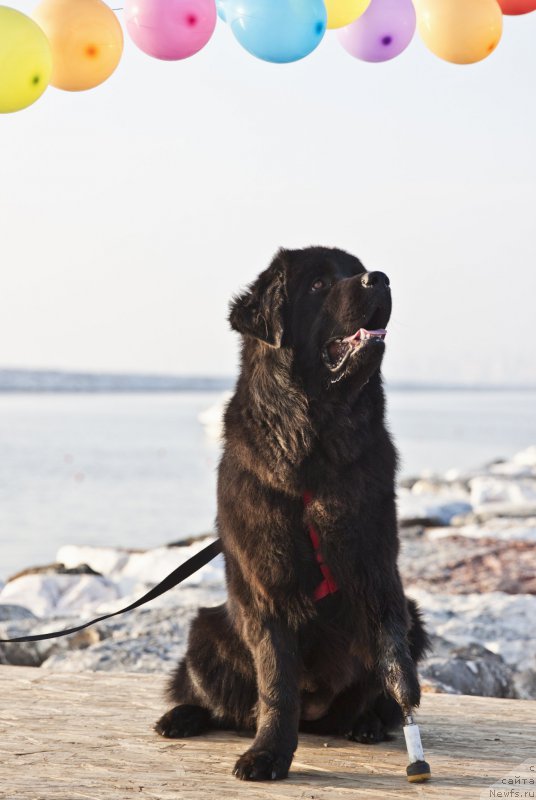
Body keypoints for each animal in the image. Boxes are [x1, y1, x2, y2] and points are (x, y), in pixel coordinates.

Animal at [155, 245, 428, 780]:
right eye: (319, 284)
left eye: (355, 270)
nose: (379, 278)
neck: (313, 441)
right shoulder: (268, 586)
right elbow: (276, 683)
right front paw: (268, 754)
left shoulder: (376, 564)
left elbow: (391, 648)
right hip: (205, 633)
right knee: (216, 699)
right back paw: (180, 717)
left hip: (416, 617)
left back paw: (366, 724)